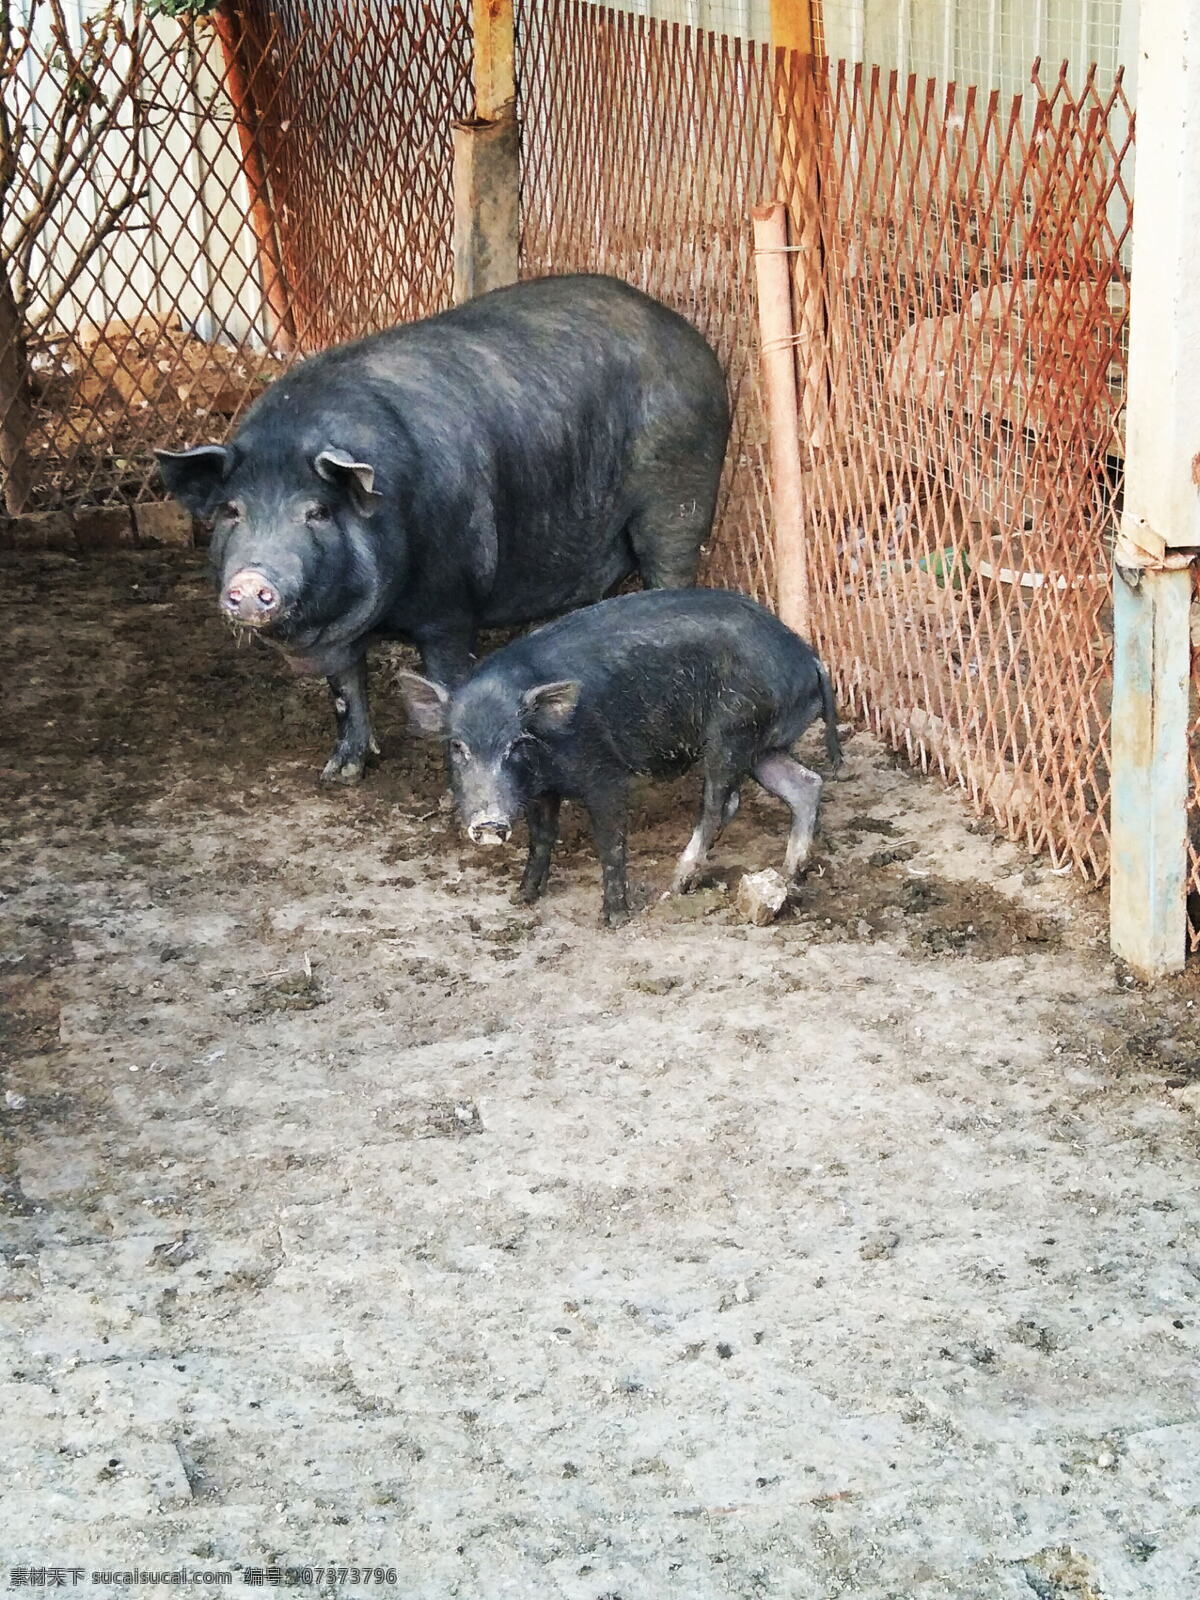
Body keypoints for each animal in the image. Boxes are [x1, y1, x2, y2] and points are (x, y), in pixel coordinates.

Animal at [155, 276, 729, 787]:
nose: (252, 581)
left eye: (316, 512)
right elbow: (344, 687)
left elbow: (448, 680)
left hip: (679, 496)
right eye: (232, 511)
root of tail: (689, 338)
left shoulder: (451, 604)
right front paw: (338, 776)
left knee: (669, 569)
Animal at [396, 585, 844, 928]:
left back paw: (677, 883)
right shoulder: (542, 789)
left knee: (721, 804)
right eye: (458, 747)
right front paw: (521, 899)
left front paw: (613, 919)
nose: (489, 822)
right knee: (806, 784)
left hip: (733, 733)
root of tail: (810, 658)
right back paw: (789, 873)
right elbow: (542, 838)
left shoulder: (605, 773)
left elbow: (610, 841)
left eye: (516, 744)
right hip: (762, 747)